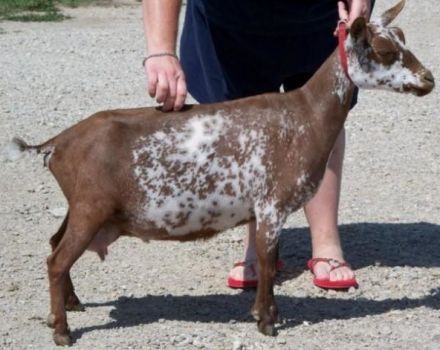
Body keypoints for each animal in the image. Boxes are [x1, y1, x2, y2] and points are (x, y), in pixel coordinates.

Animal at [9, 0, 434, 344]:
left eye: (403, 38)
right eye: (384, 51)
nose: (429, 79)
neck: (305, 116)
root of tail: (57, 143)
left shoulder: (265, 207)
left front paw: (267, 314)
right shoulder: (272, 204)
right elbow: (267, 261)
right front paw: (266, 321)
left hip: (81, 205)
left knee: (54, 245)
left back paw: (71, 305)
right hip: (91, 205)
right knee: (57, 259)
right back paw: (62, 331)